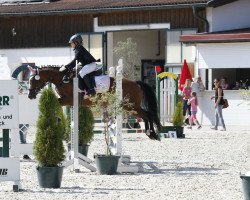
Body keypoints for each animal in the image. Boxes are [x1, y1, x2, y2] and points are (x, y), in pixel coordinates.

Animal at [26, 66, 161, 140]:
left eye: (33, 81)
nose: (30, 96)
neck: (62, 80)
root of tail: (136, 83)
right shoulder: (68, 101)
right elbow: (56, 103)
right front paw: (58, 119)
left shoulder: (68, 99)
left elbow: (56, 102)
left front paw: (57, 119)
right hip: (130, 107)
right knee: (146, 115)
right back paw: (151, 134)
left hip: (130, 106)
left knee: (148, 115)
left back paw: (152, 133)